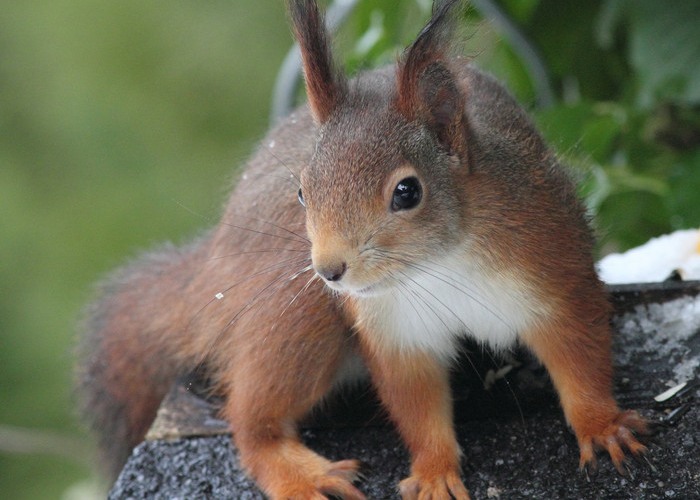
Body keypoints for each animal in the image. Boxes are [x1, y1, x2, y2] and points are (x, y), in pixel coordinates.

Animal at [76, 0, 652, 500]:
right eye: (302, 191)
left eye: (408, 192)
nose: (330, 270)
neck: (439, 265)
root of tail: (211, 268)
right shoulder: (394, 330)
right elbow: (416, 403)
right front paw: (434, 472)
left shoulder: (550, 262)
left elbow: (577, 352)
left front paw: (602, 426)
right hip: (294, 314)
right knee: (251, 421)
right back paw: (299, 472)